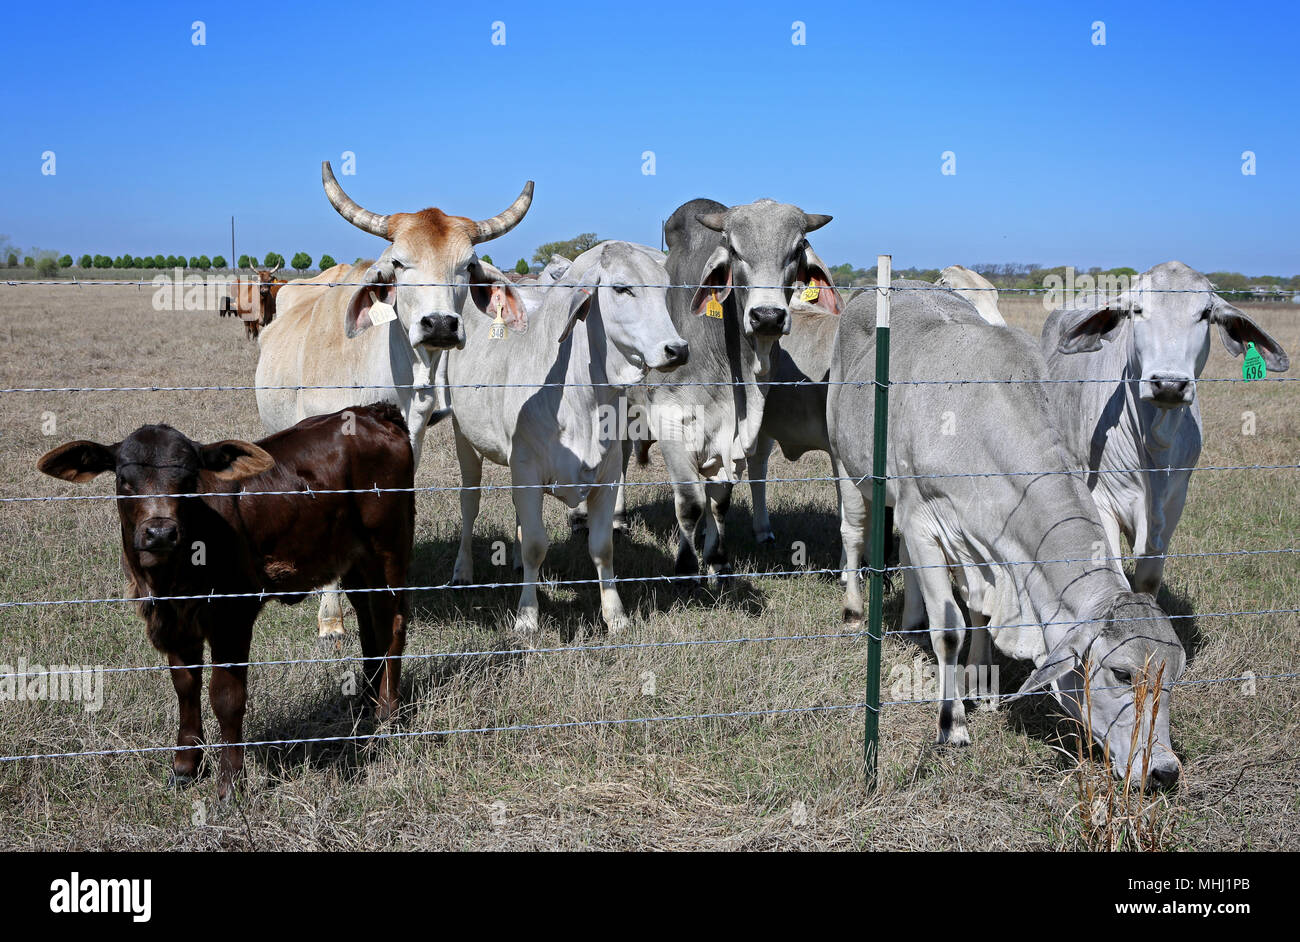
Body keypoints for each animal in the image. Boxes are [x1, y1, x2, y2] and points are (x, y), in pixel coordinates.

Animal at [35, 400, 413, 795]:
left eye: (189, 480)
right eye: (125, 479)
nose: (160, 533)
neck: (169, 577)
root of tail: (373, 411)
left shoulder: (232, 616)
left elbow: (227, 697)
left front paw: (230, 782)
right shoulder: (175, 623)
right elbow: (185, 687)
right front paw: (186, 765)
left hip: (388, 545)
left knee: (392, 623)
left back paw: (387, 713)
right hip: (353, 558)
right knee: (369, 622)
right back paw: (367, 700)